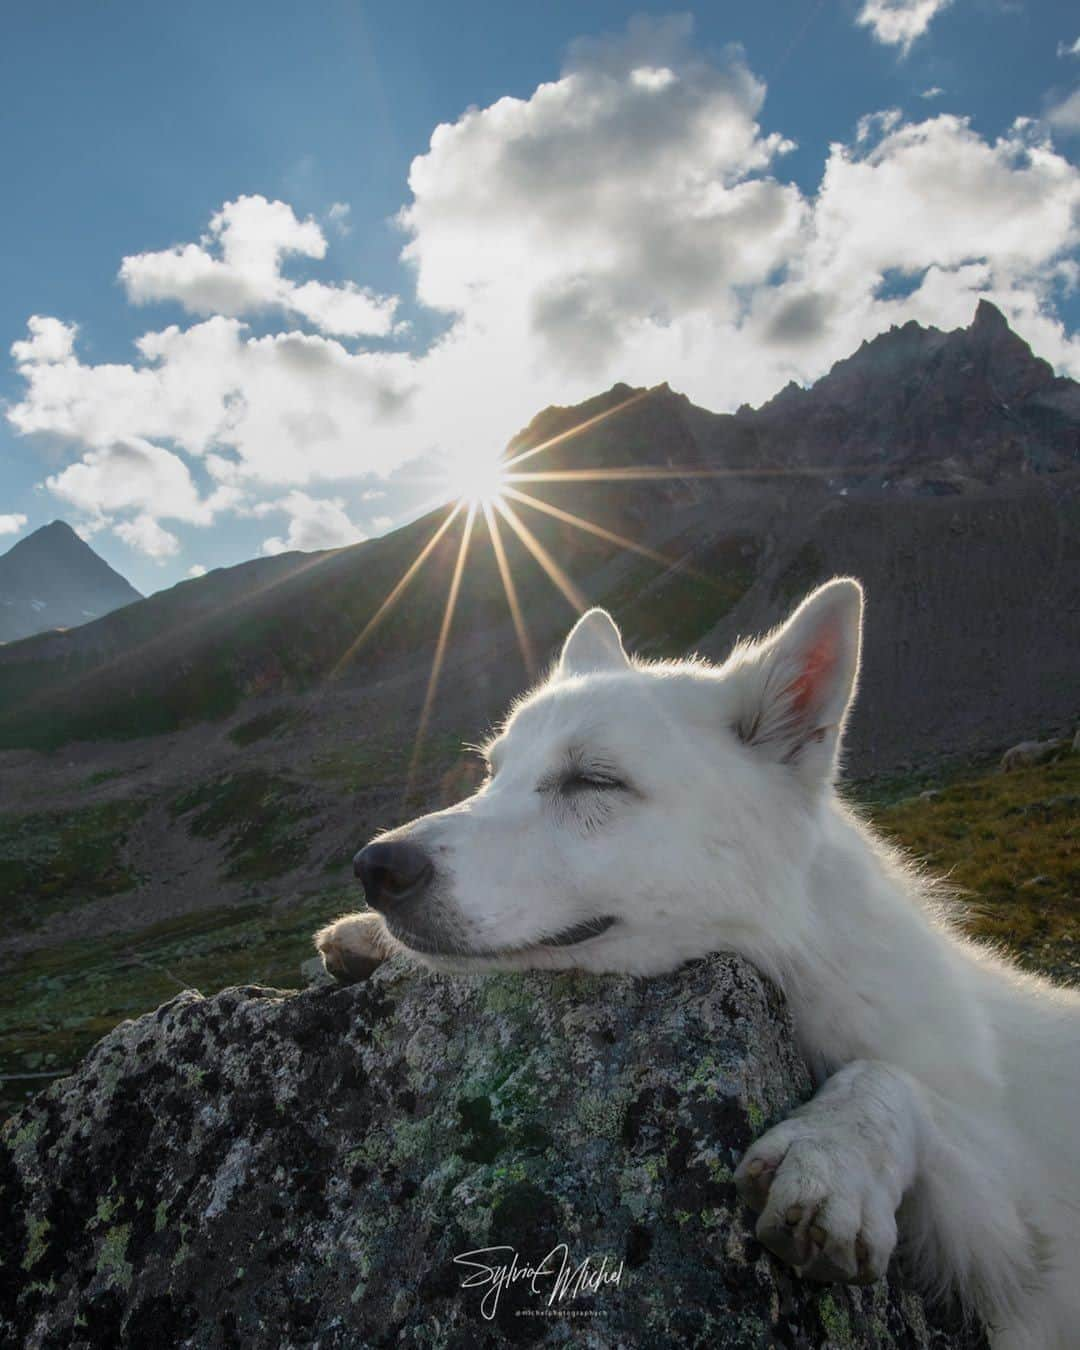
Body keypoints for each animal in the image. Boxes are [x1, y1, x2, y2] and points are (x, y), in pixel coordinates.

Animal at [315, 583, 1074, 1350]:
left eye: (593, 781)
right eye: (493, 773)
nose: (375, 869)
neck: (808, 941)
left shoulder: (1029, 1226)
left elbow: (894, 1084)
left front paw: (833, 1154)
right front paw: (370, 940)